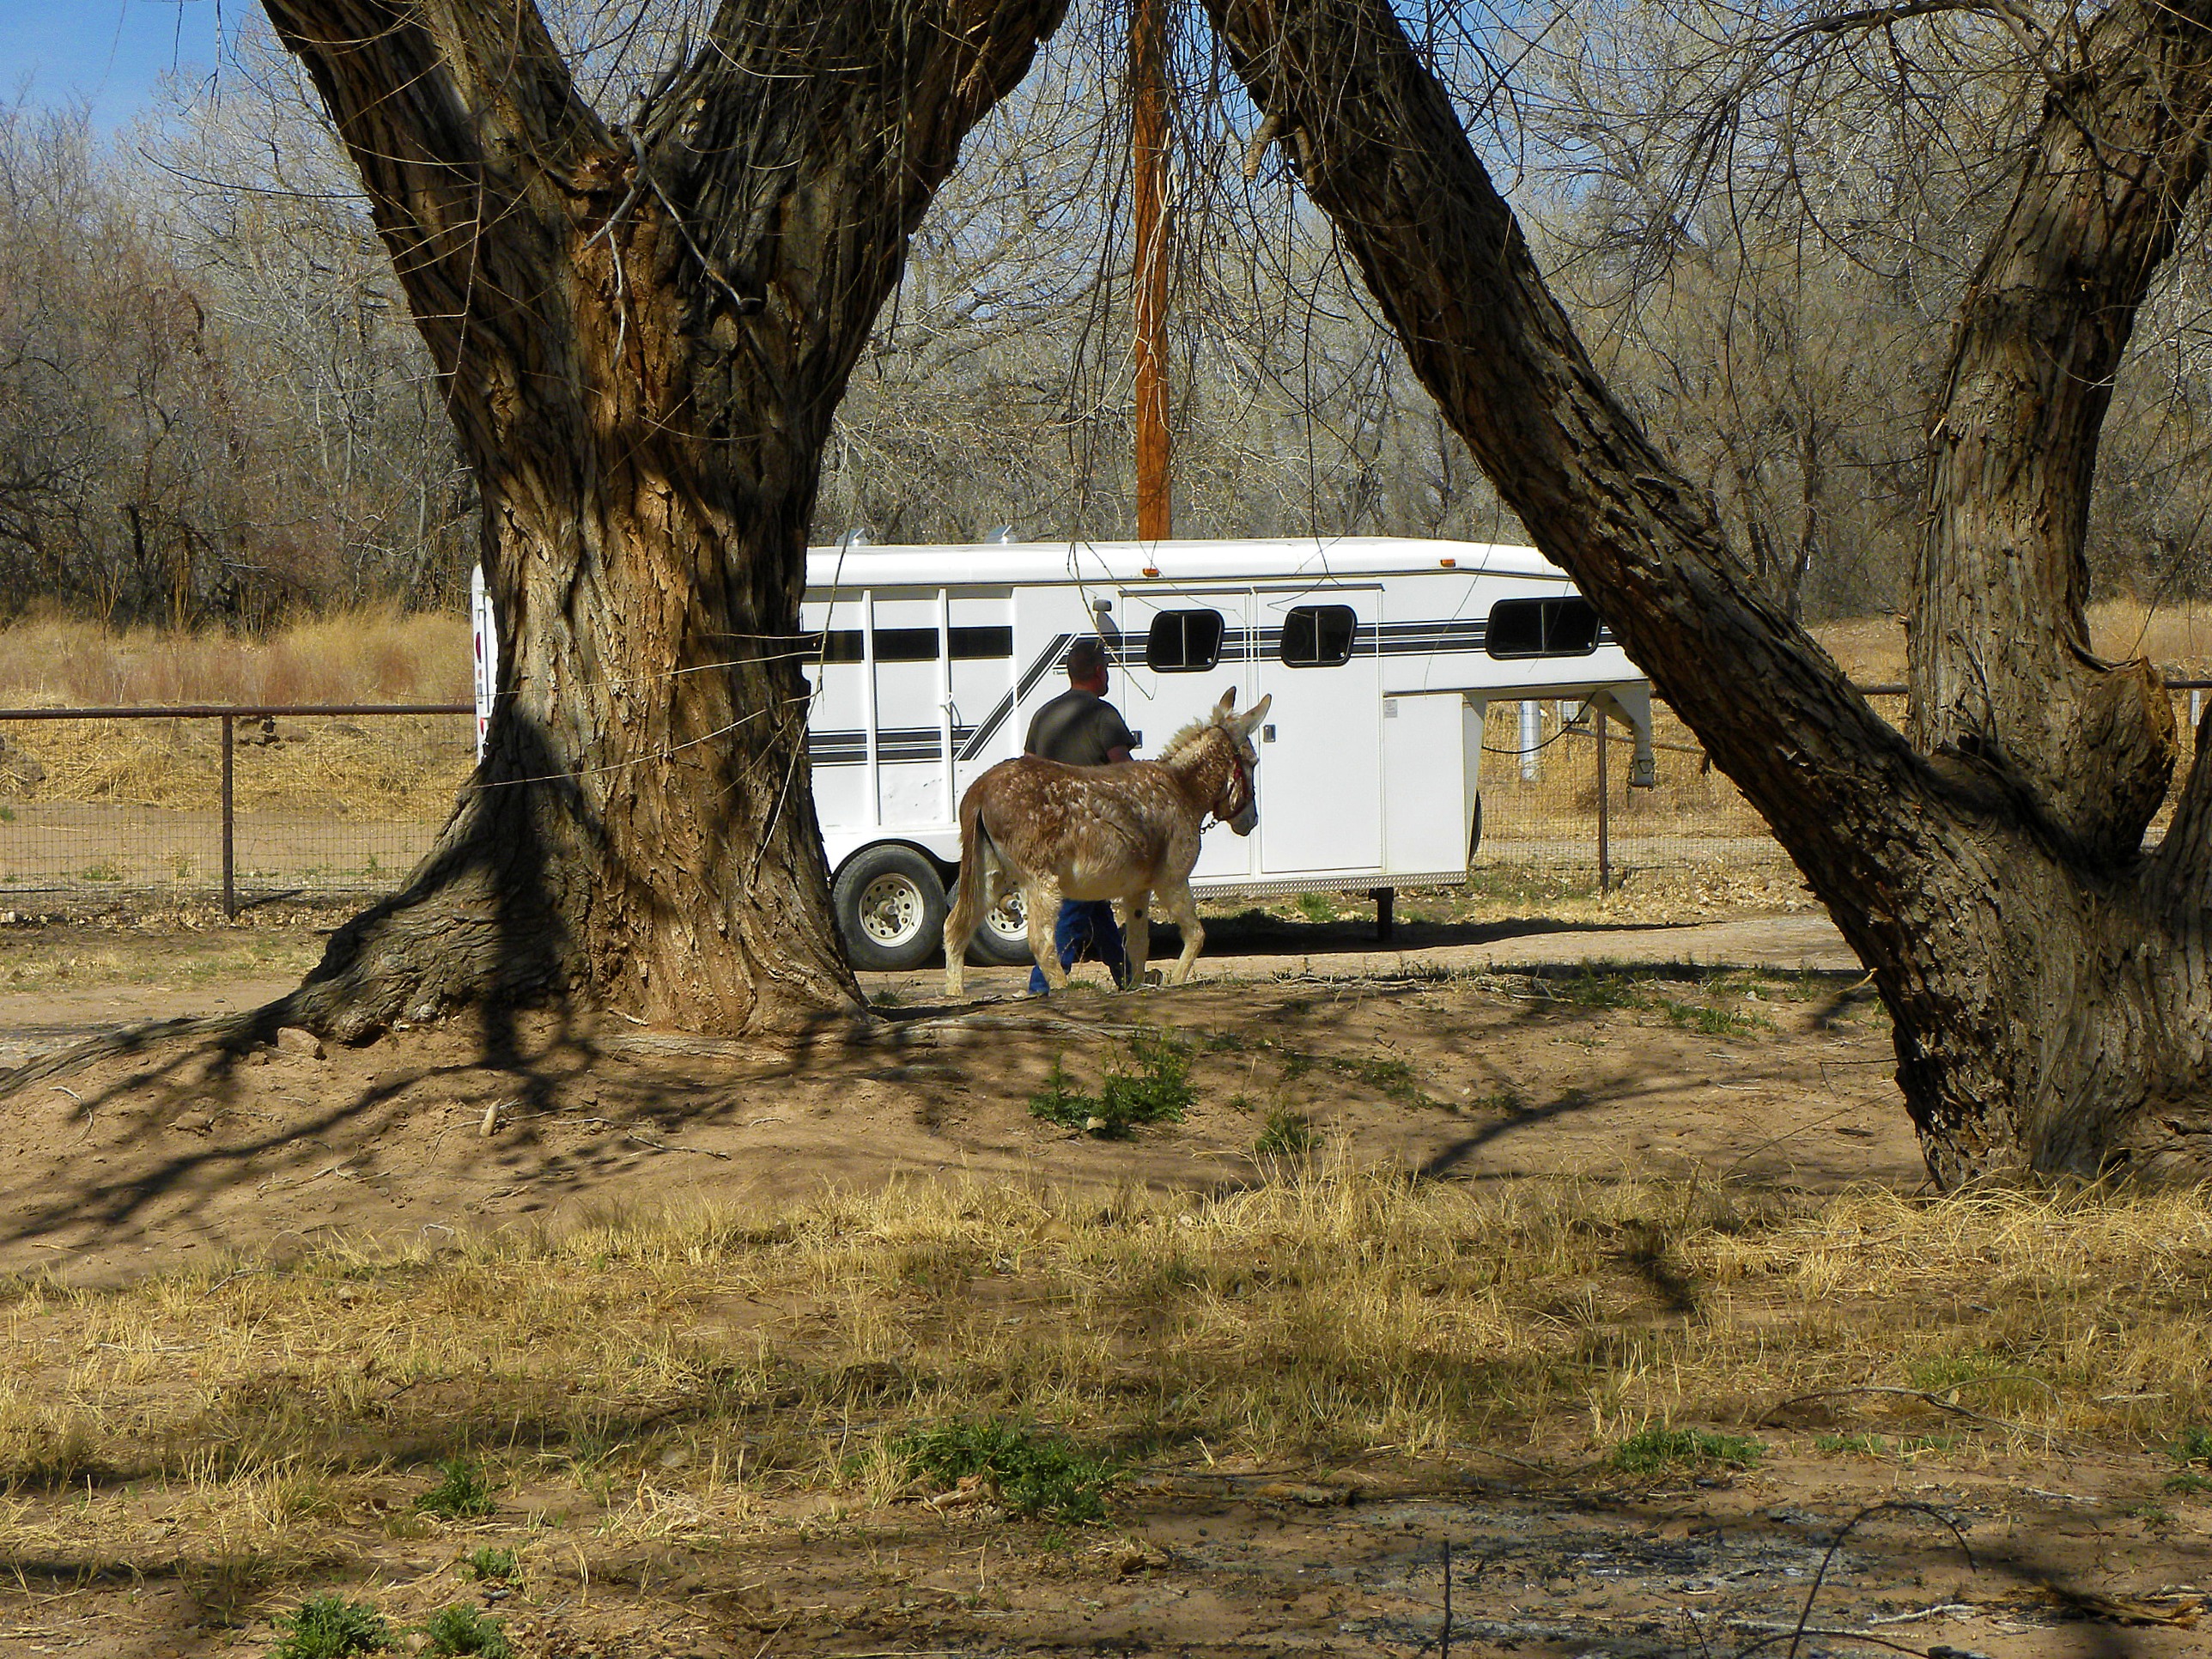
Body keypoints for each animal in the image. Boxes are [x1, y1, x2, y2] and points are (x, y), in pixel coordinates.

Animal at [943, 687, 1272, 997]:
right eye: (1253, 762)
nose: (1252, 821)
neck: (1183, 789)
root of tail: (980, 789)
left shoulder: (1138, 888)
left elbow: (1137, 945)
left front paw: (1137, 987)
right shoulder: (1172, 879)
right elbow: (1196, 935)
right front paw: (1176, 983)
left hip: (990, 875)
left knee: (956, 928)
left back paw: (955, 996)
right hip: (1040, 881)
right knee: (1041, 941)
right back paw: (1063, 990)